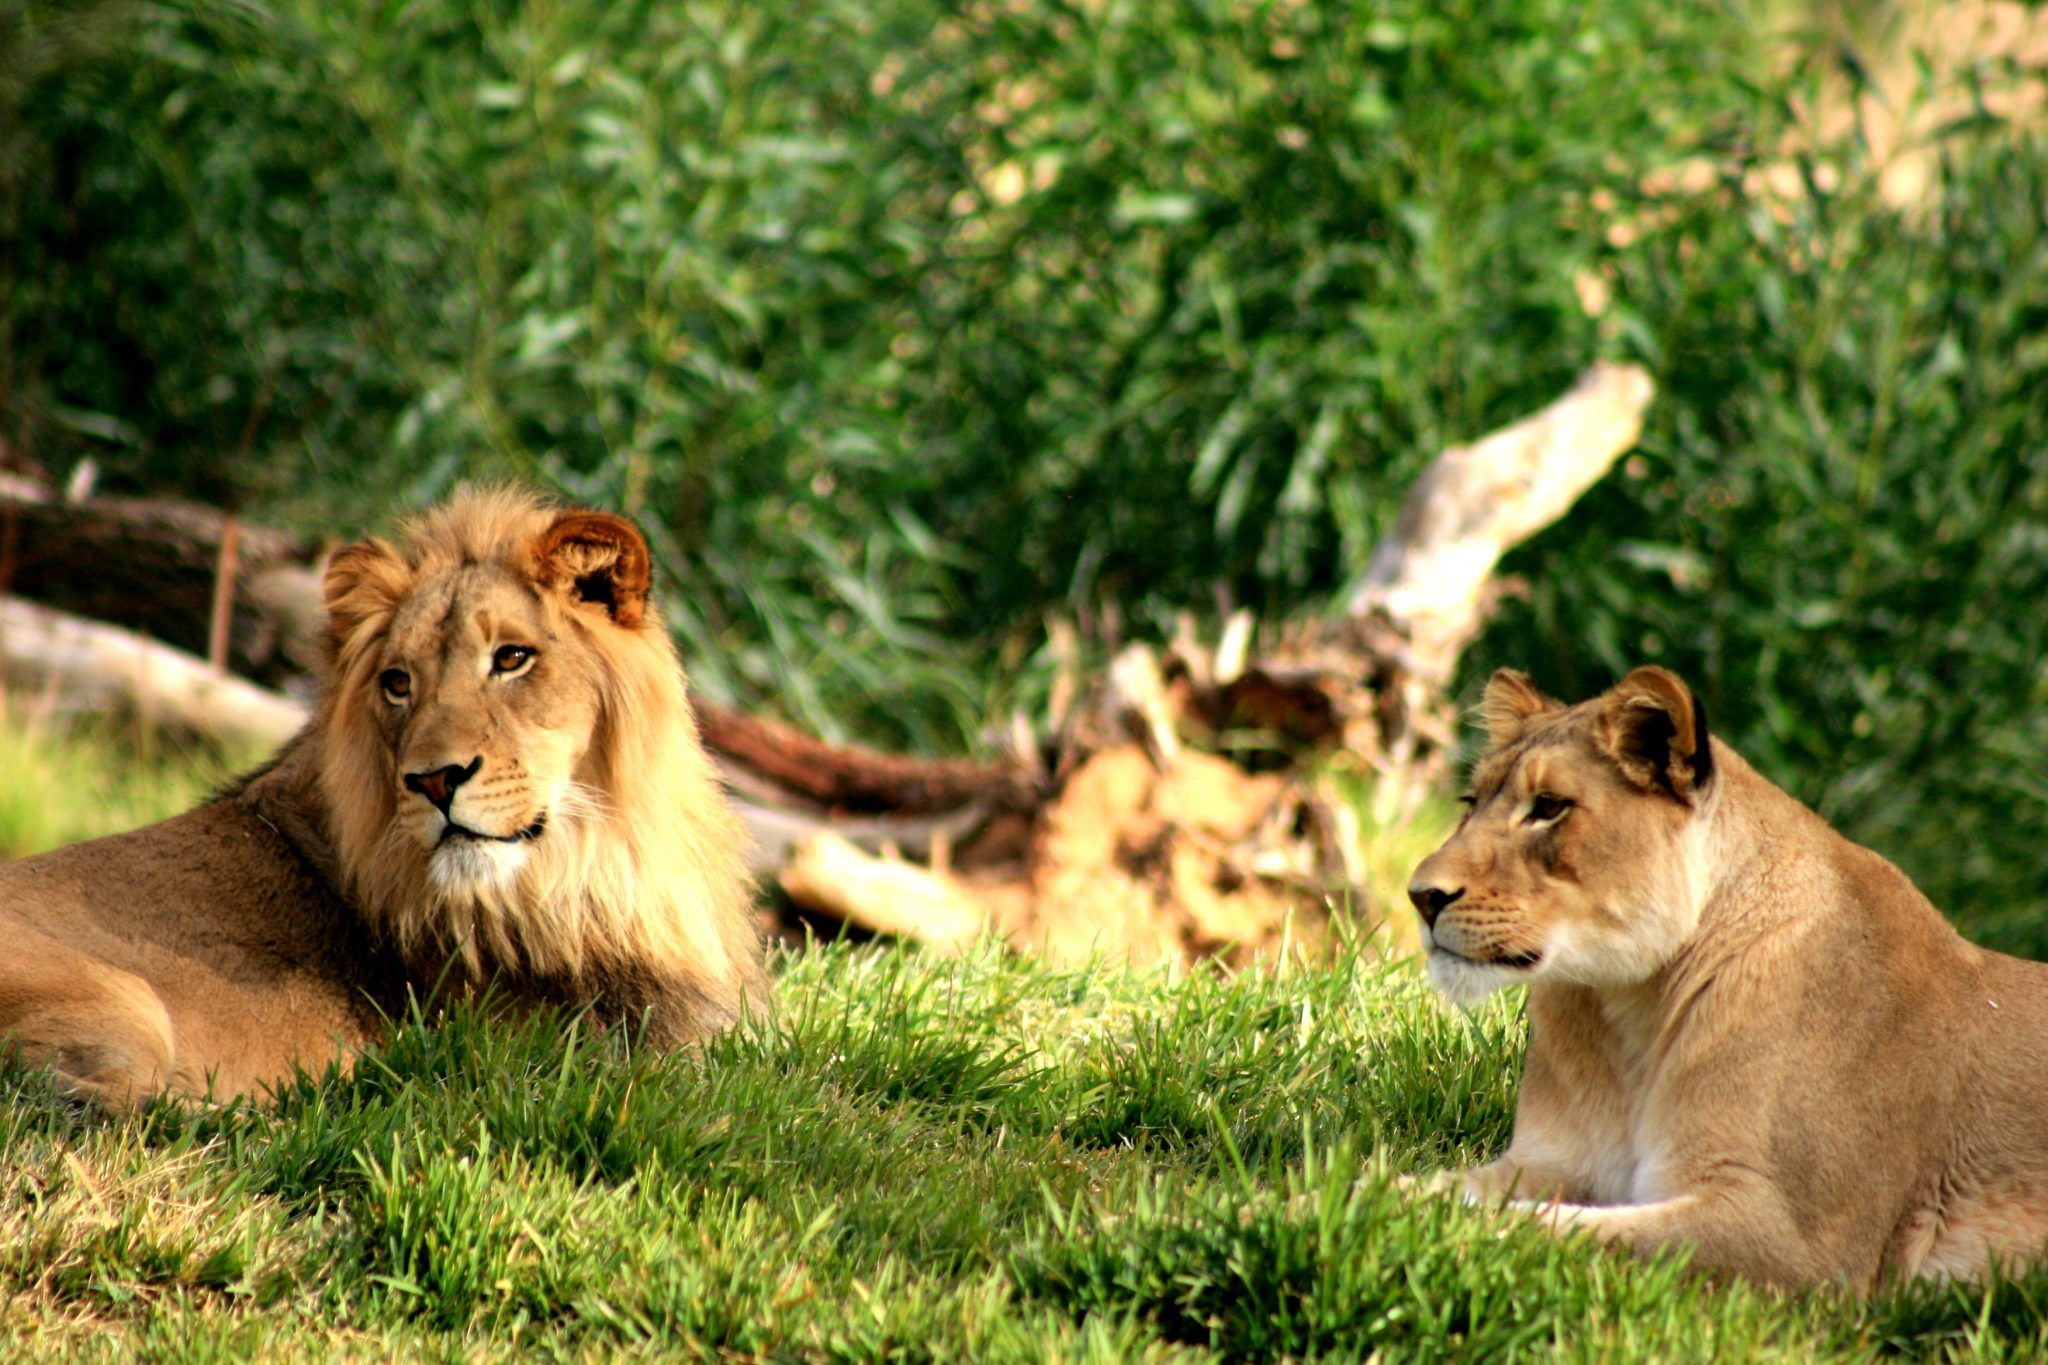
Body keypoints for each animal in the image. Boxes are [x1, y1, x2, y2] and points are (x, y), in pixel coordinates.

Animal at [1417, 671, 2048, 1293]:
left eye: (1548, 807)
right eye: (1470, 803)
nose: (1420, 896)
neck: (1628, 1014)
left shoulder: (1801, 1245)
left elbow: (1547, 1227)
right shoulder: (1551, 1162)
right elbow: (1438, 1189)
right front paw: (1393, 1194)